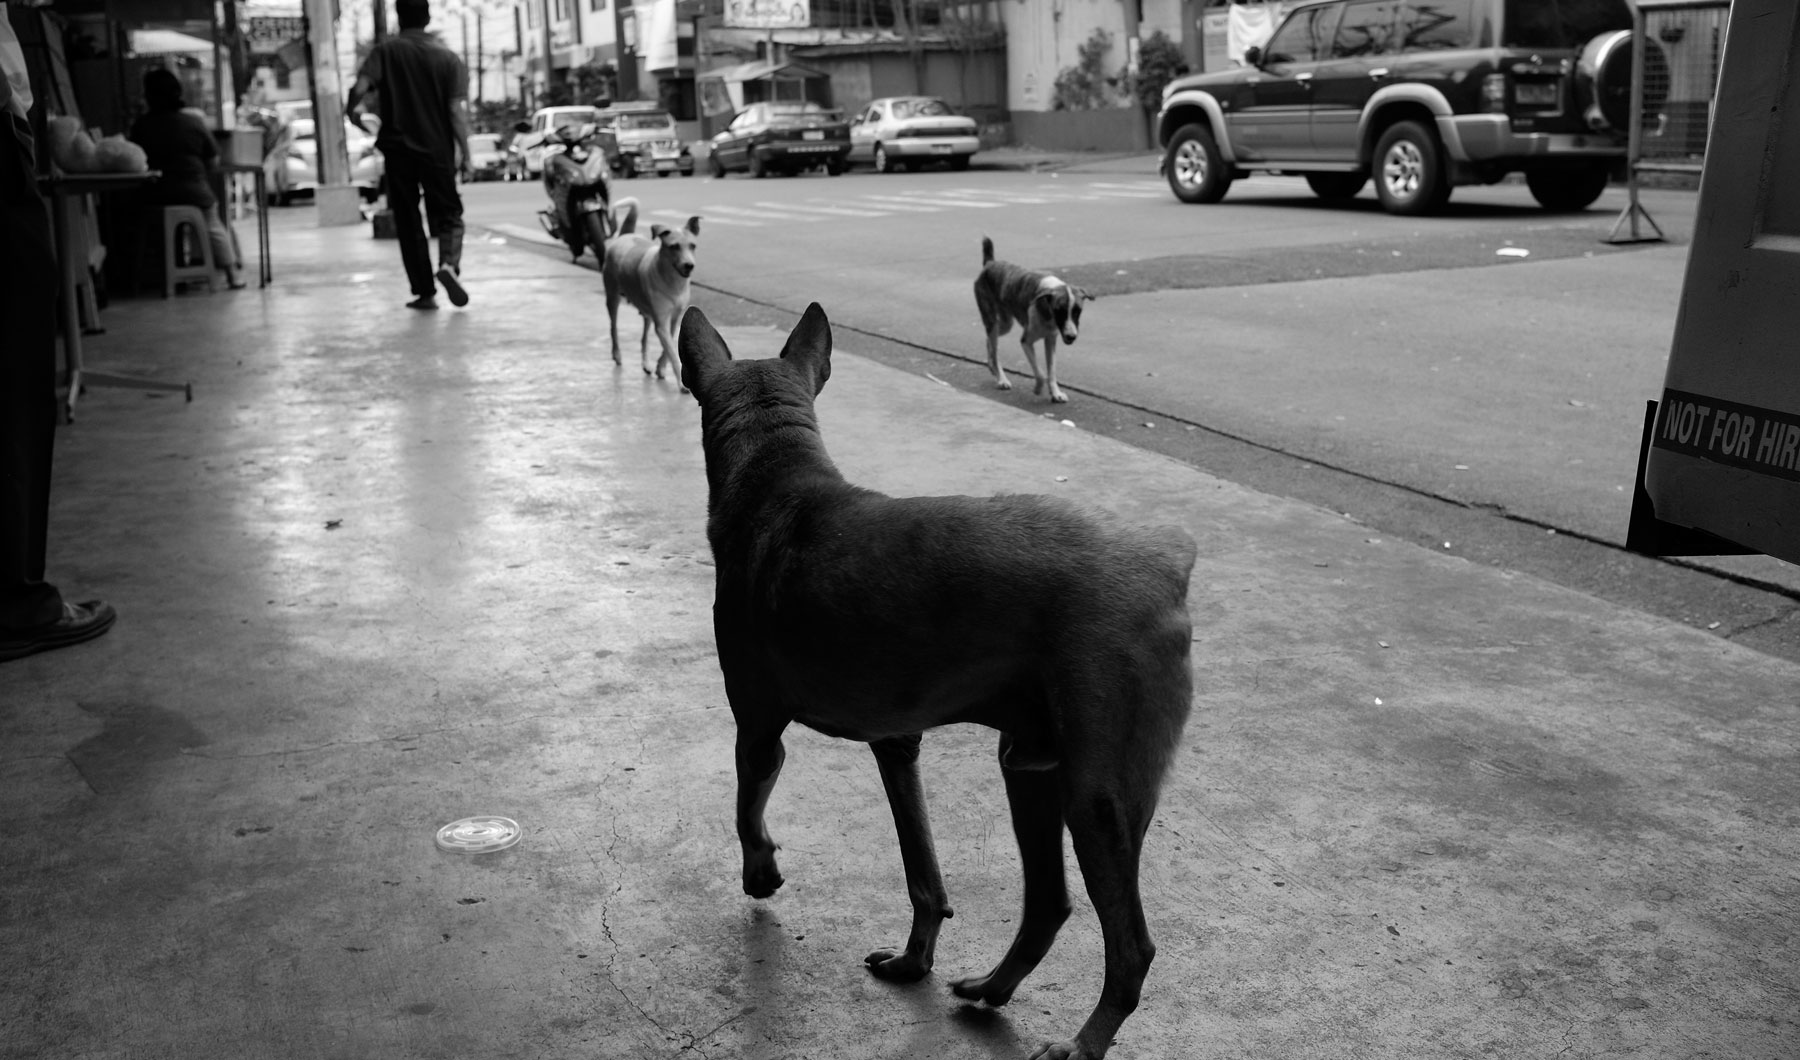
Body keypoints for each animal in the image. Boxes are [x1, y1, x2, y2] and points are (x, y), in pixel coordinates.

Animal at [680, 302, 1202, 1051]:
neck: (778, 482)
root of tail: (1165, 563)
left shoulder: (756, 728)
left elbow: (746, 807)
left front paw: (761, 871)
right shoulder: (897, 745)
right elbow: (923, 873)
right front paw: (914, 960)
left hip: (1097, 799)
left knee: (1132, 947)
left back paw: (1083, 1042)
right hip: (1030, 768)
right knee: (1049, 904)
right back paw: (994, 986)